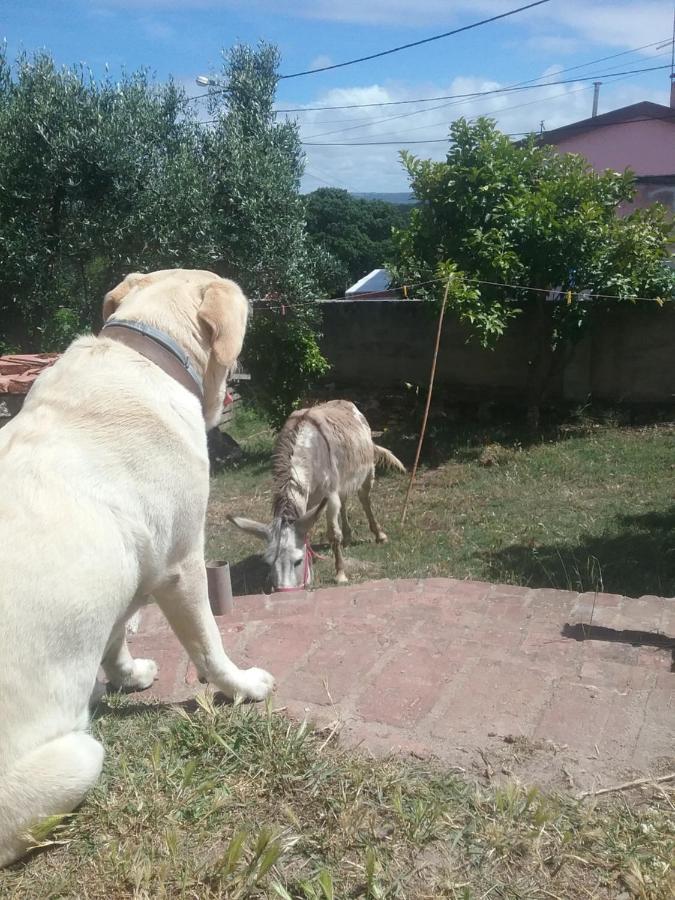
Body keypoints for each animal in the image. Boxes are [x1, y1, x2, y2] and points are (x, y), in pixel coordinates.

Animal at [0, 270, 274, 868]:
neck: (145, 353)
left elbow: (114, 633)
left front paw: (125, 675)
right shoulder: (181, 564)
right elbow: (209, 644)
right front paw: (241, 684)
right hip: (77, 757)